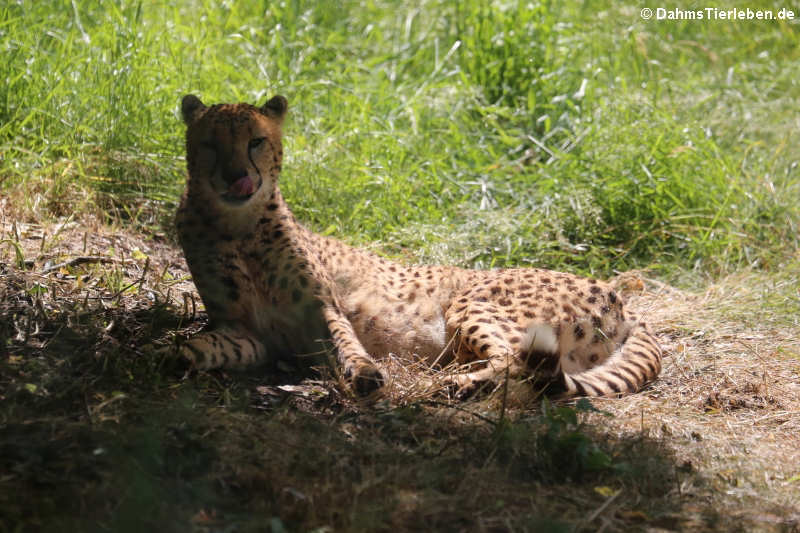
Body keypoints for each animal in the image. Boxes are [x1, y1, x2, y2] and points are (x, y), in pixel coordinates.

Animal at [177, 93, 664, 396]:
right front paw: (177, 355)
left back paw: (456, 386)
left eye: (256, 141)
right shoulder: (249, 332)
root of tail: (619, 297)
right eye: (210, 145)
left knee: (520, 362)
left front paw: (367, 375)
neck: (238, 226)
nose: (238, 177)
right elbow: (213, 345)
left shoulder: (324, 310)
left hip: (473, 304)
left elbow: (347, 343)